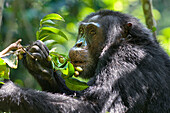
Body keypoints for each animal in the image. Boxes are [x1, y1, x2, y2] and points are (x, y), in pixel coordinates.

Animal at [0, 9, 170, 113]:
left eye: (92, 31)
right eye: (82, 31)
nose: (79, 43)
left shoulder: (124, 61)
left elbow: (96, 107)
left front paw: (9, 91)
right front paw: (41, 64)